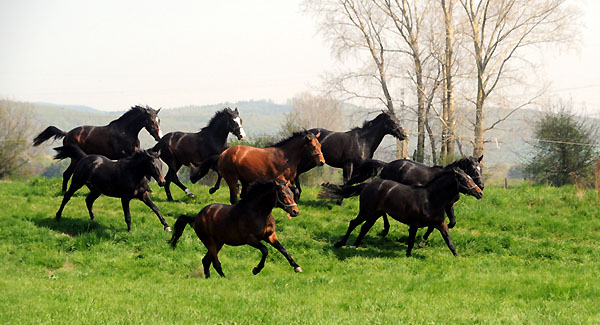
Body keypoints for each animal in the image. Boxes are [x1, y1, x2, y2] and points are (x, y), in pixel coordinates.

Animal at [33, 105, 163, 192]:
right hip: (75, 158)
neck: (126, 132)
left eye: (159, 120)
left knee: (67, 174)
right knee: (67, 174)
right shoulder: (124, 155)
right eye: (151, 120)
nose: (159, 137)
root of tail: (67, 133)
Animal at [169, 178, 302, 278]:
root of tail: (197, 217)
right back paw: (224, 277)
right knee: (215, 262)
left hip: (219, 242)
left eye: (292, 193)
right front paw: (256, 270)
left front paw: (297, 267)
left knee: (206, 261)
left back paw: (209, 277)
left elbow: (283, 249)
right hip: (209, 241)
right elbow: (265, 250)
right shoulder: (250, 239)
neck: (259, 212)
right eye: (283, 194)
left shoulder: (270, 236)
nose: (295, 211)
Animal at [324, 167, 482, 256]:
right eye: (464, 179)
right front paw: (408, 255)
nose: (480, 192)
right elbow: (411, 241)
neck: (430, 199)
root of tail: (368, 185)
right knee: (353, 223)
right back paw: (340, 244)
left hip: (374, 214)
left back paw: (355, 246)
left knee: (364, 228)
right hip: (366, 211)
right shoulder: (414, 224)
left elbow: (449, 242)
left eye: (470, 177)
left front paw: (458, 256)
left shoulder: (440, 224)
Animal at [344, 155, 486, 235]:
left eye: (480, 169)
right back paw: (385, 230)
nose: (481, 187)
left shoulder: (448, 205)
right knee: (383, 212)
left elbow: (452, 222)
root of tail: (387, 165)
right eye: (473, 170)